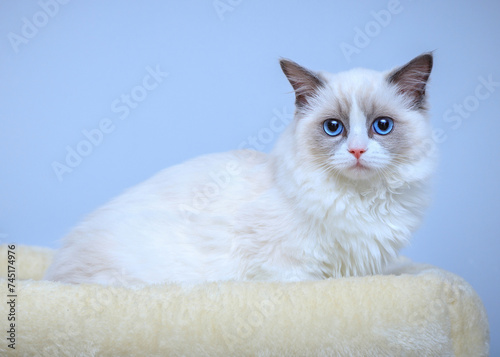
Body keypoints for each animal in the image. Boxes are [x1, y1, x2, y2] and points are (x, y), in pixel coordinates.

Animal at [45, 52, 436, 286]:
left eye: (381, 126)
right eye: (333, 128)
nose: (356, 150)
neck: (360, 200)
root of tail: (53, 272)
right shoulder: (289, 270)